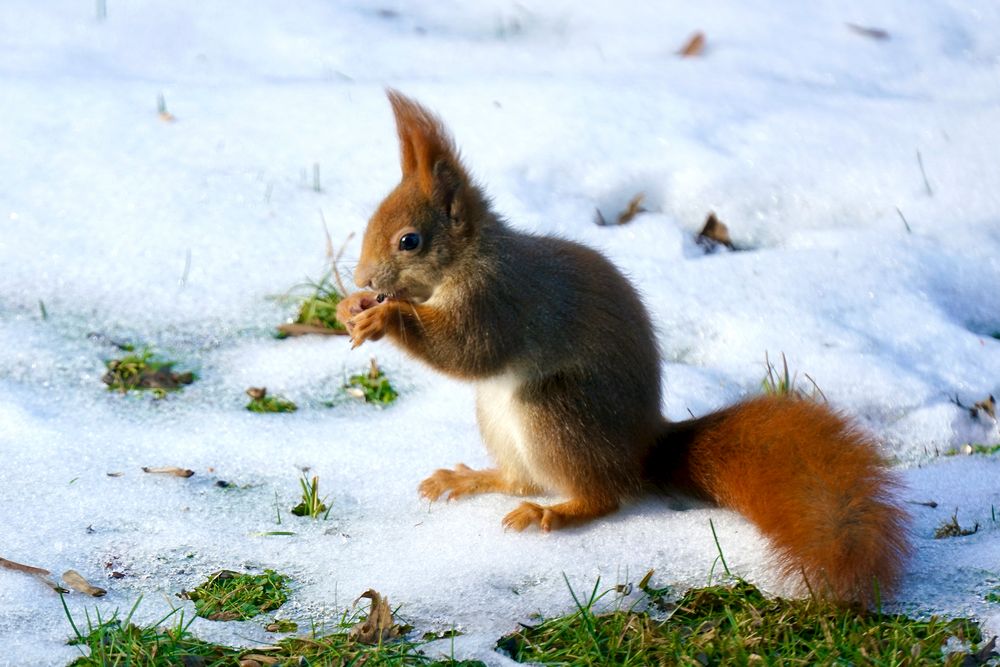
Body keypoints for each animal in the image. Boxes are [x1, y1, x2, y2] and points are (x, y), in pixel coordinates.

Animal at [338, 90, 916, 604]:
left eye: (409, 241)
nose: (364, 278)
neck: (469, 261)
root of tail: (643, 447)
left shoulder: (501, 299)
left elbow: (468, 350)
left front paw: (386, 316)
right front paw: (350, 307)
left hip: (556, 411)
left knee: (604, 496)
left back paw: (558, 512)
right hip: (498, 416)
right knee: (522, 478)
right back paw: (474, 479)